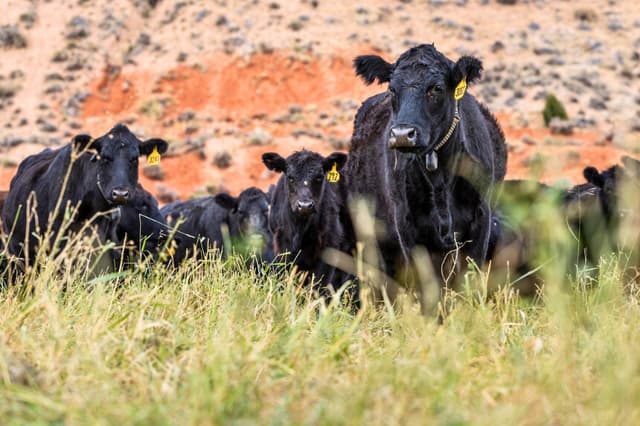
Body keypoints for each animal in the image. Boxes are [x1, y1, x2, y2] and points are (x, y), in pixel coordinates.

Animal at [261, 149, 357, 303]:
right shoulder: (283, 249)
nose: (305, 205)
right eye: (290, 177)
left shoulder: (329, 250)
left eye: (319, 177)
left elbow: (319, 287)